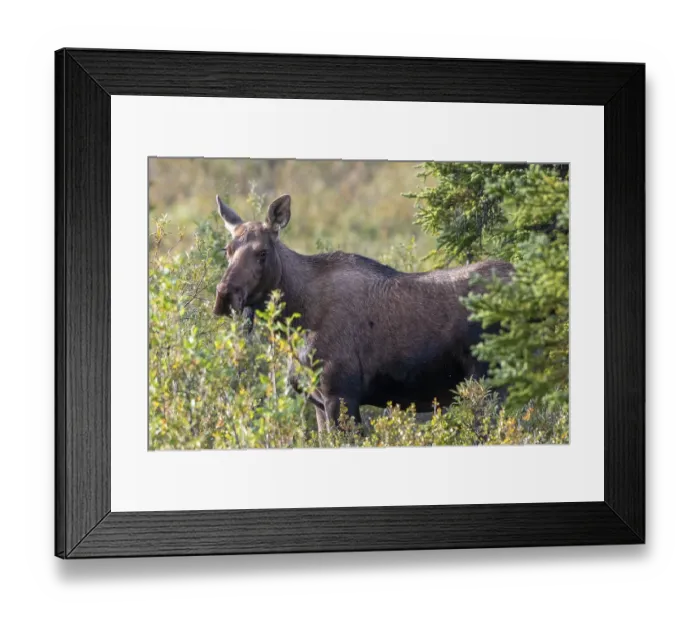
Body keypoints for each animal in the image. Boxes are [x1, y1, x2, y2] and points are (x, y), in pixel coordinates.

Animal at [213, 194, 513, 432]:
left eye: (262, 253)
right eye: (228, 250)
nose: (225, 296)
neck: (294, 321)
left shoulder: (340, 394)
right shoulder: (317, 401)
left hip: (492, 381)